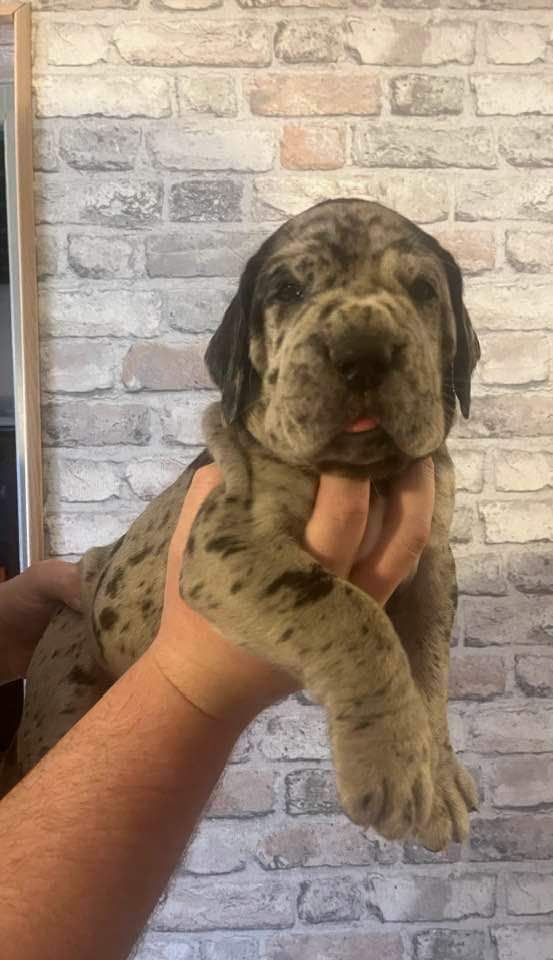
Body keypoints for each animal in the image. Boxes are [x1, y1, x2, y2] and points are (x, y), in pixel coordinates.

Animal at [3, 199, 480, 850]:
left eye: (423, 290)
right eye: (288, 289)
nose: (363, 354)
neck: (364, 476)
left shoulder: (431, 563)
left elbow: (430, 670)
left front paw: (439, 776)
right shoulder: (229, 542)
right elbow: (355, 617)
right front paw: (391, 766)